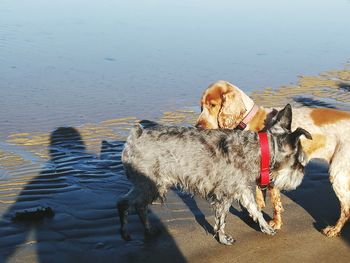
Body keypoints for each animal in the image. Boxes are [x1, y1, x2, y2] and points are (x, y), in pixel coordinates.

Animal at [117, 104, 312, 245]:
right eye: (300, 162)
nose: (300, 178)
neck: (259, 150)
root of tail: (136, 136)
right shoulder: (224, 194)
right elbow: (222, 218)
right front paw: (223, 238)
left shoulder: (241, 188)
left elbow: (254, 208)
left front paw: (265, 227)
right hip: (151, 184)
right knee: (126, 203)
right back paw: (126, 232)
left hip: (149, 185)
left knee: (139, 206)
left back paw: (147, 230)